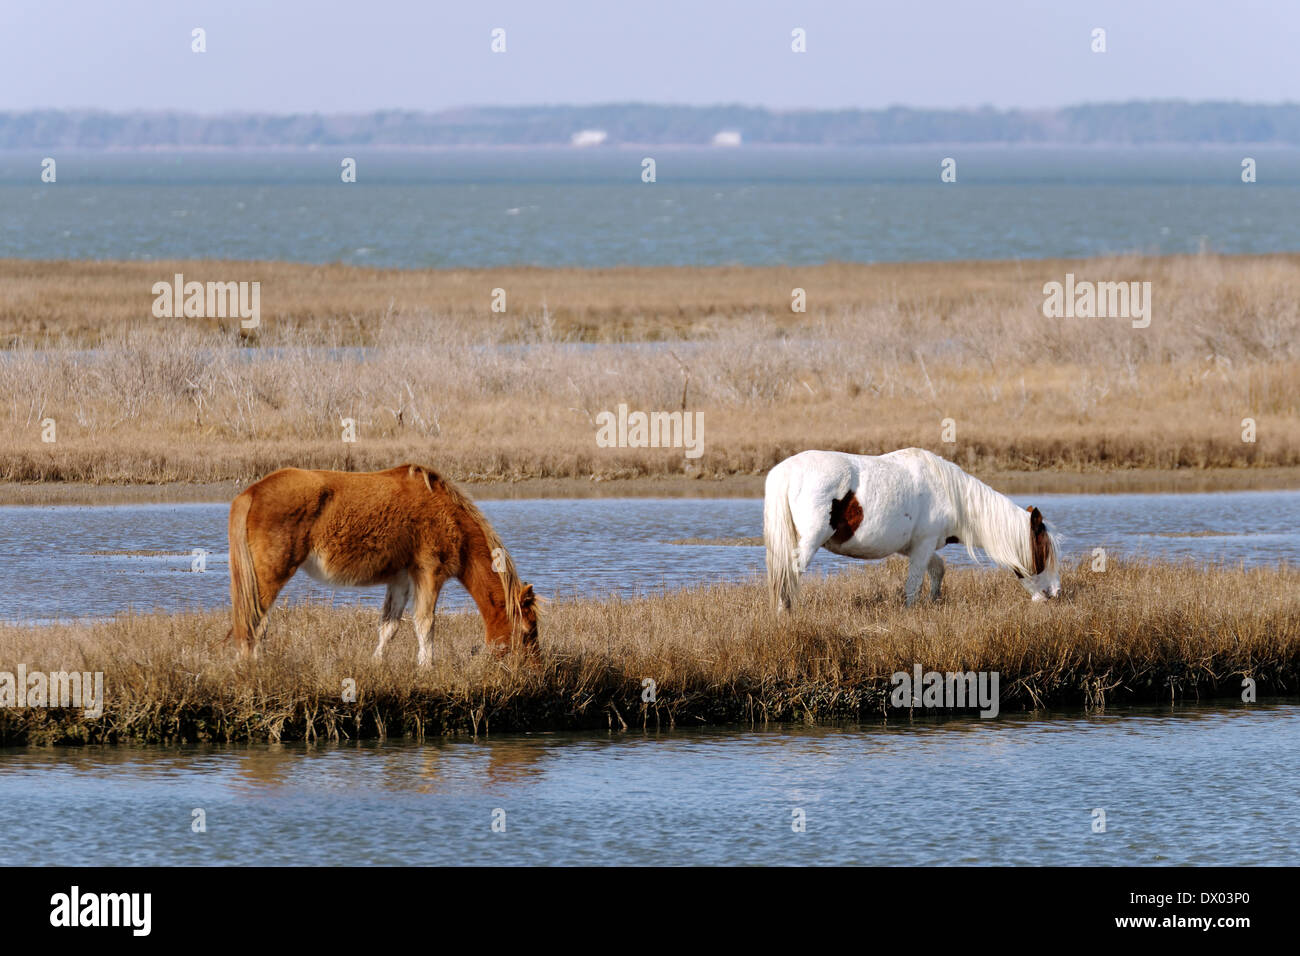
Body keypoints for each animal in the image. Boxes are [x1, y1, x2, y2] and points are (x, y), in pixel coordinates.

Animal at [228, 465, 538, 665]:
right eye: (527, 632)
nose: (533, 671)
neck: (448, 514)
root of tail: (251, 493)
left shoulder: (400, 578)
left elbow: (389, 626)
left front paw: (377, 663)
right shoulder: (429, 572)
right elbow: (426, 623)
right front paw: (427, 667)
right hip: (270, 575)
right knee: (253, 621)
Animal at [764, 450, 1060, 613]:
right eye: (1042, 552)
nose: (1054, 594)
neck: (952, 494)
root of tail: (786, 472)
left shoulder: (916, 547)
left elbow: (937, 570)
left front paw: (934, 602)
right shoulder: (923, 545)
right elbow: (913, 583)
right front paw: (910, 611)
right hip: (810, 542)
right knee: (790, 573)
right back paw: (785, 611)